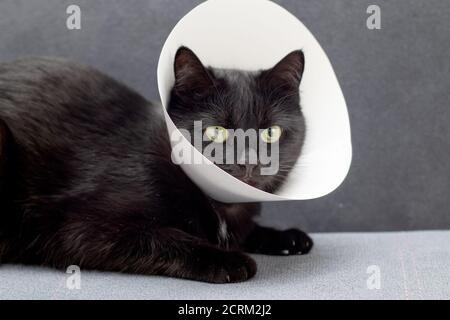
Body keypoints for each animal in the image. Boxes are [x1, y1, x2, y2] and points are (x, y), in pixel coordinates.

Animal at [0, 47, 312, 282]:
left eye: (270, 132)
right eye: (216, 131)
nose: (248, 162)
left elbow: (243, 231)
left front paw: (287, 238)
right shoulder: (77, 228)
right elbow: (163, 237)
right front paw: (228, 260)